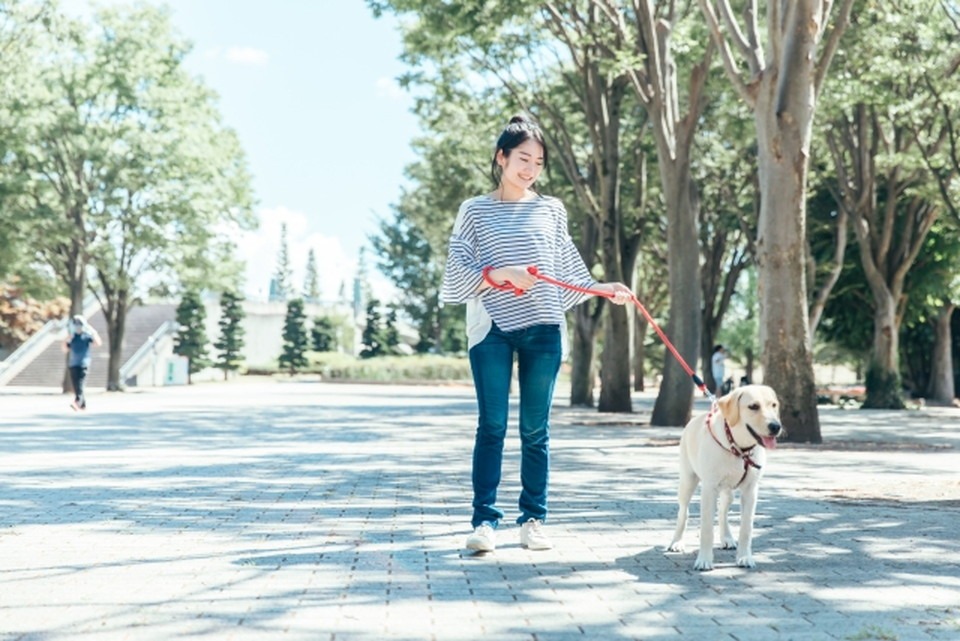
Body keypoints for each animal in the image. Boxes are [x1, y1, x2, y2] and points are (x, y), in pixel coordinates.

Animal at [668, 384, 780, 568]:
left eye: (774, 405)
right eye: (753, 406)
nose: (776, 426)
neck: (738, 448)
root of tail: (693, 420)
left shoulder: (751, 490)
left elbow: (746, 528)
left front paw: (745, 557)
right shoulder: (709, 488)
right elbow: (706, 528)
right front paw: (704, 560)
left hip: (729, 491)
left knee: (722, 511)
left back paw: (727, 538)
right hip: (687, 481)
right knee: (683, 512)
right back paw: (676, 542)